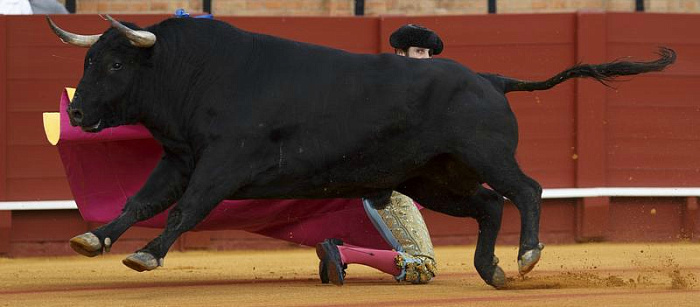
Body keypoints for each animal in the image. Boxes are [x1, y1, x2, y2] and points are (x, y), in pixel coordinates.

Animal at [46, 14, 676, 288]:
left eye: (115, 64)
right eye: (88, 61)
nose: (74, 114)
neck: (195, 73)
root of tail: (489, 79)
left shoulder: (223, 163)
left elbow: (184, 209)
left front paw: (146, 255)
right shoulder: (179, 158)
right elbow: (139, 201)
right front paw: (93, 239)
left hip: (484, 157)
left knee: (526, 188)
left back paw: (524, 257)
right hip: (432, 180)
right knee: (489, 204)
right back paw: (490, 270)